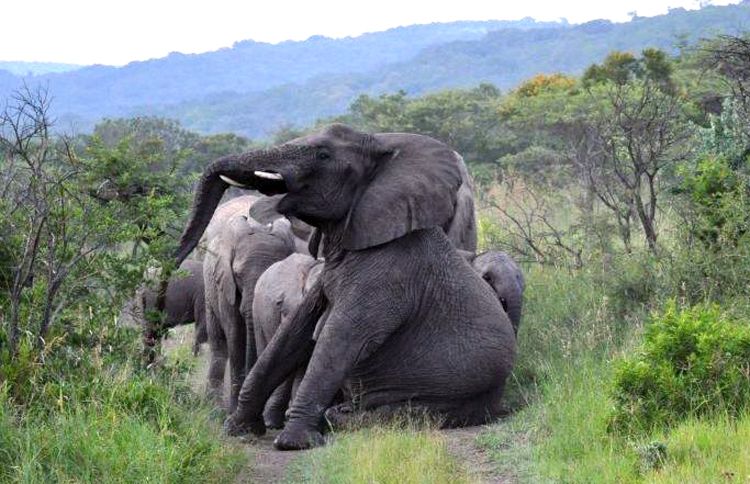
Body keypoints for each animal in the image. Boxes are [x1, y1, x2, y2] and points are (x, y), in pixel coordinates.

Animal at [206, 214, 300, 414]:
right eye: (237, 275)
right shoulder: (226, 285)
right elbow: (235, 336)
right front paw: (233, 410)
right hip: (209, 290)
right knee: (219, 344)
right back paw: (213, 406)